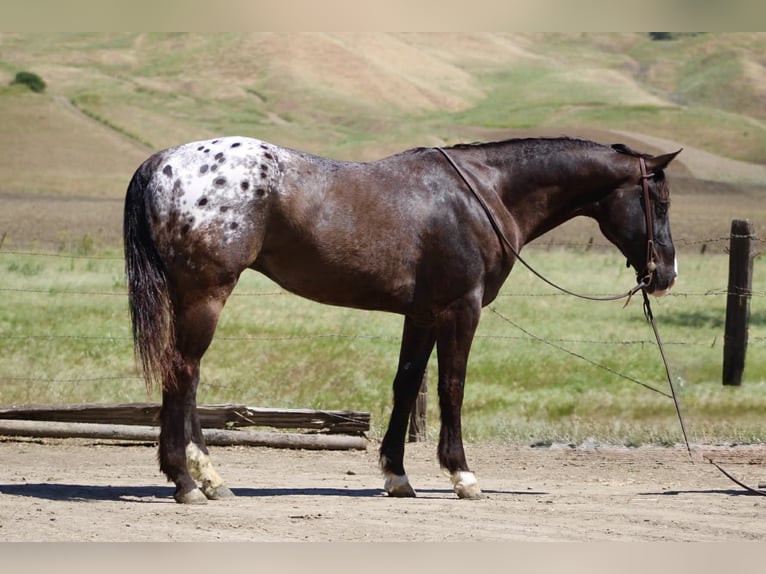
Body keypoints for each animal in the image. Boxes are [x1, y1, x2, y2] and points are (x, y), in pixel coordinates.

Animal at [124, 135, 680, 503]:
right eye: (660, 201)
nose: (666, 274)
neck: (483, 195)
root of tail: (161, 162)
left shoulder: (423, 314)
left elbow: (407, 385)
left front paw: (397, 476)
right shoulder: (461, 309)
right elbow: (452, 386)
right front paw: (462, 476)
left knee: (184, 377)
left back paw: (207, 479)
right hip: (206, 295)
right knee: (184, 373)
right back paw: (187, 482)